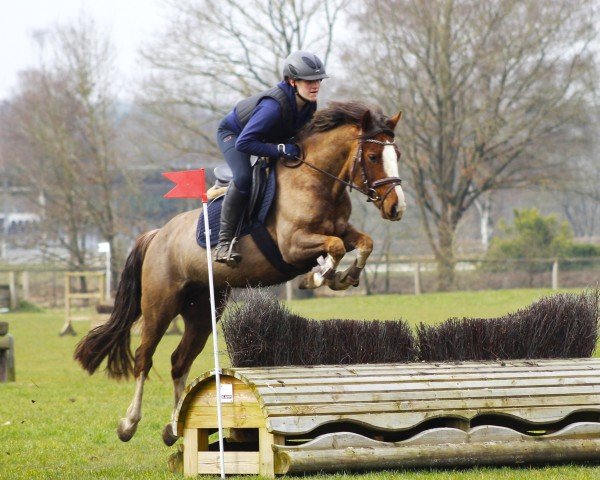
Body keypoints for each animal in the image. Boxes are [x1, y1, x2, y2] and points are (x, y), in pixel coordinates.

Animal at [72, 99, 406, 444]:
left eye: (397, 155)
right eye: (372, 156)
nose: (396, 208)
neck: (317, 181)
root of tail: (157, 235)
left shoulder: (341, 231)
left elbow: (363, 243)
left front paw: (344, 277)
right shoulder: (293, 245)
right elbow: (336, 248)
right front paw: (318, 275)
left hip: (202, 310)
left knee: (179, 361)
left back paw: (174, 427)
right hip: (160, 305)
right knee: (144, 357)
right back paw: (129, 424)